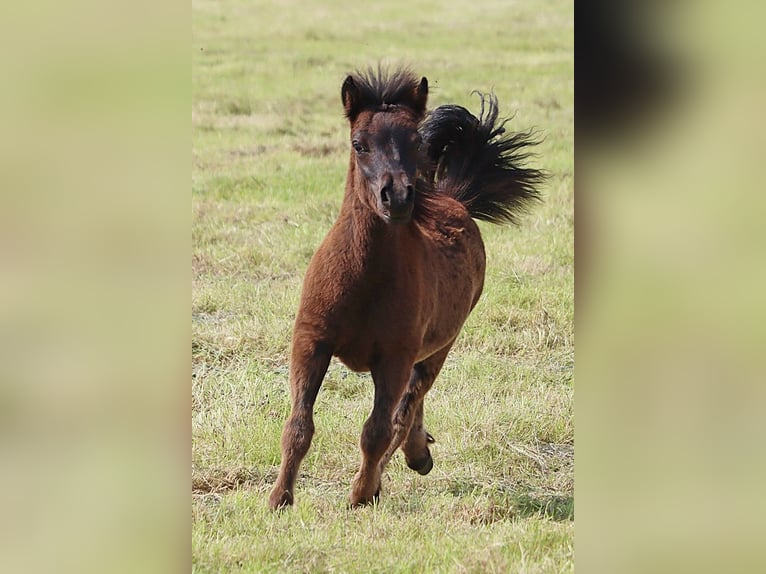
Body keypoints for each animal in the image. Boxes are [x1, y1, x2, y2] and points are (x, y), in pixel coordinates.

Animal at [270, 65, 544, 510]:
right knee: (411, 406)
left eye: (415, 141)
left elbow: (377, 430)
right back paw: (417, 454)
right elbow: (298, 425)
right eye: (358, 144)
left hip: (438, 347)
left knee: (408, 406)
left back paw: (407, 461)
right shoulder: (311, 341)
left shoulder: (394, 357)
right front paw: (279, 499)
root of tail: (455, 200)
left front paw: (361, 495)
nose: (396, 196)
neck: (363, 280)